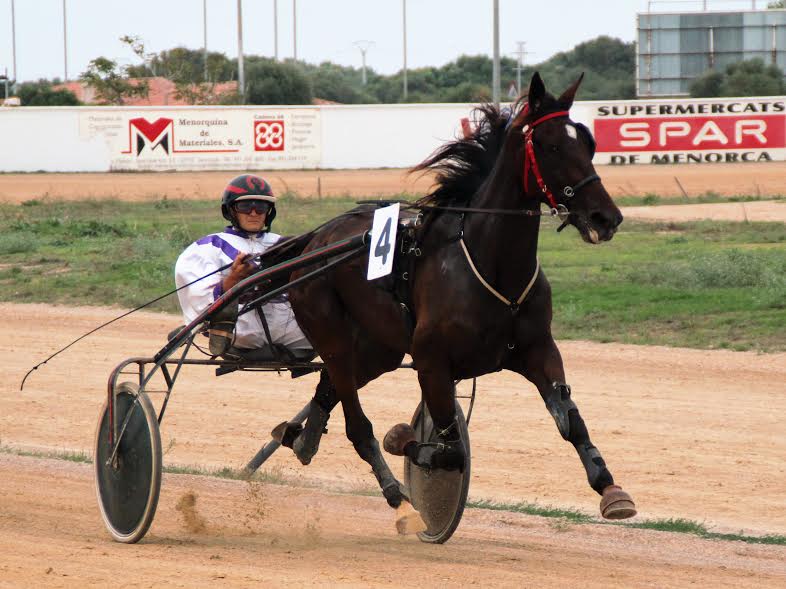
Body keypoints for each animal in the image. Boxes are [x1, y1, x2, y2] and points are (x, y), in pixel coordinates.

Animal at [284, 72, 632, 528]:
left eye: (588, 144)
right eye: (550, 146)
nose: (605, 217)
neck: (491, 265)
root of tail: (314, 239)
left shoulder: (538, 348)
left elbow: (570, 421)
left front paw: (610, 487)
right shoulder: (432, 361)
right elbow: (448, 452)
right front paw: (404, 442)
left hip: (380, 349)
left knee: (329, 386)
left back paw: (299, 436)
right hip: (332, 332)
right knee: (355, 418)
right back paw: (395, 495)